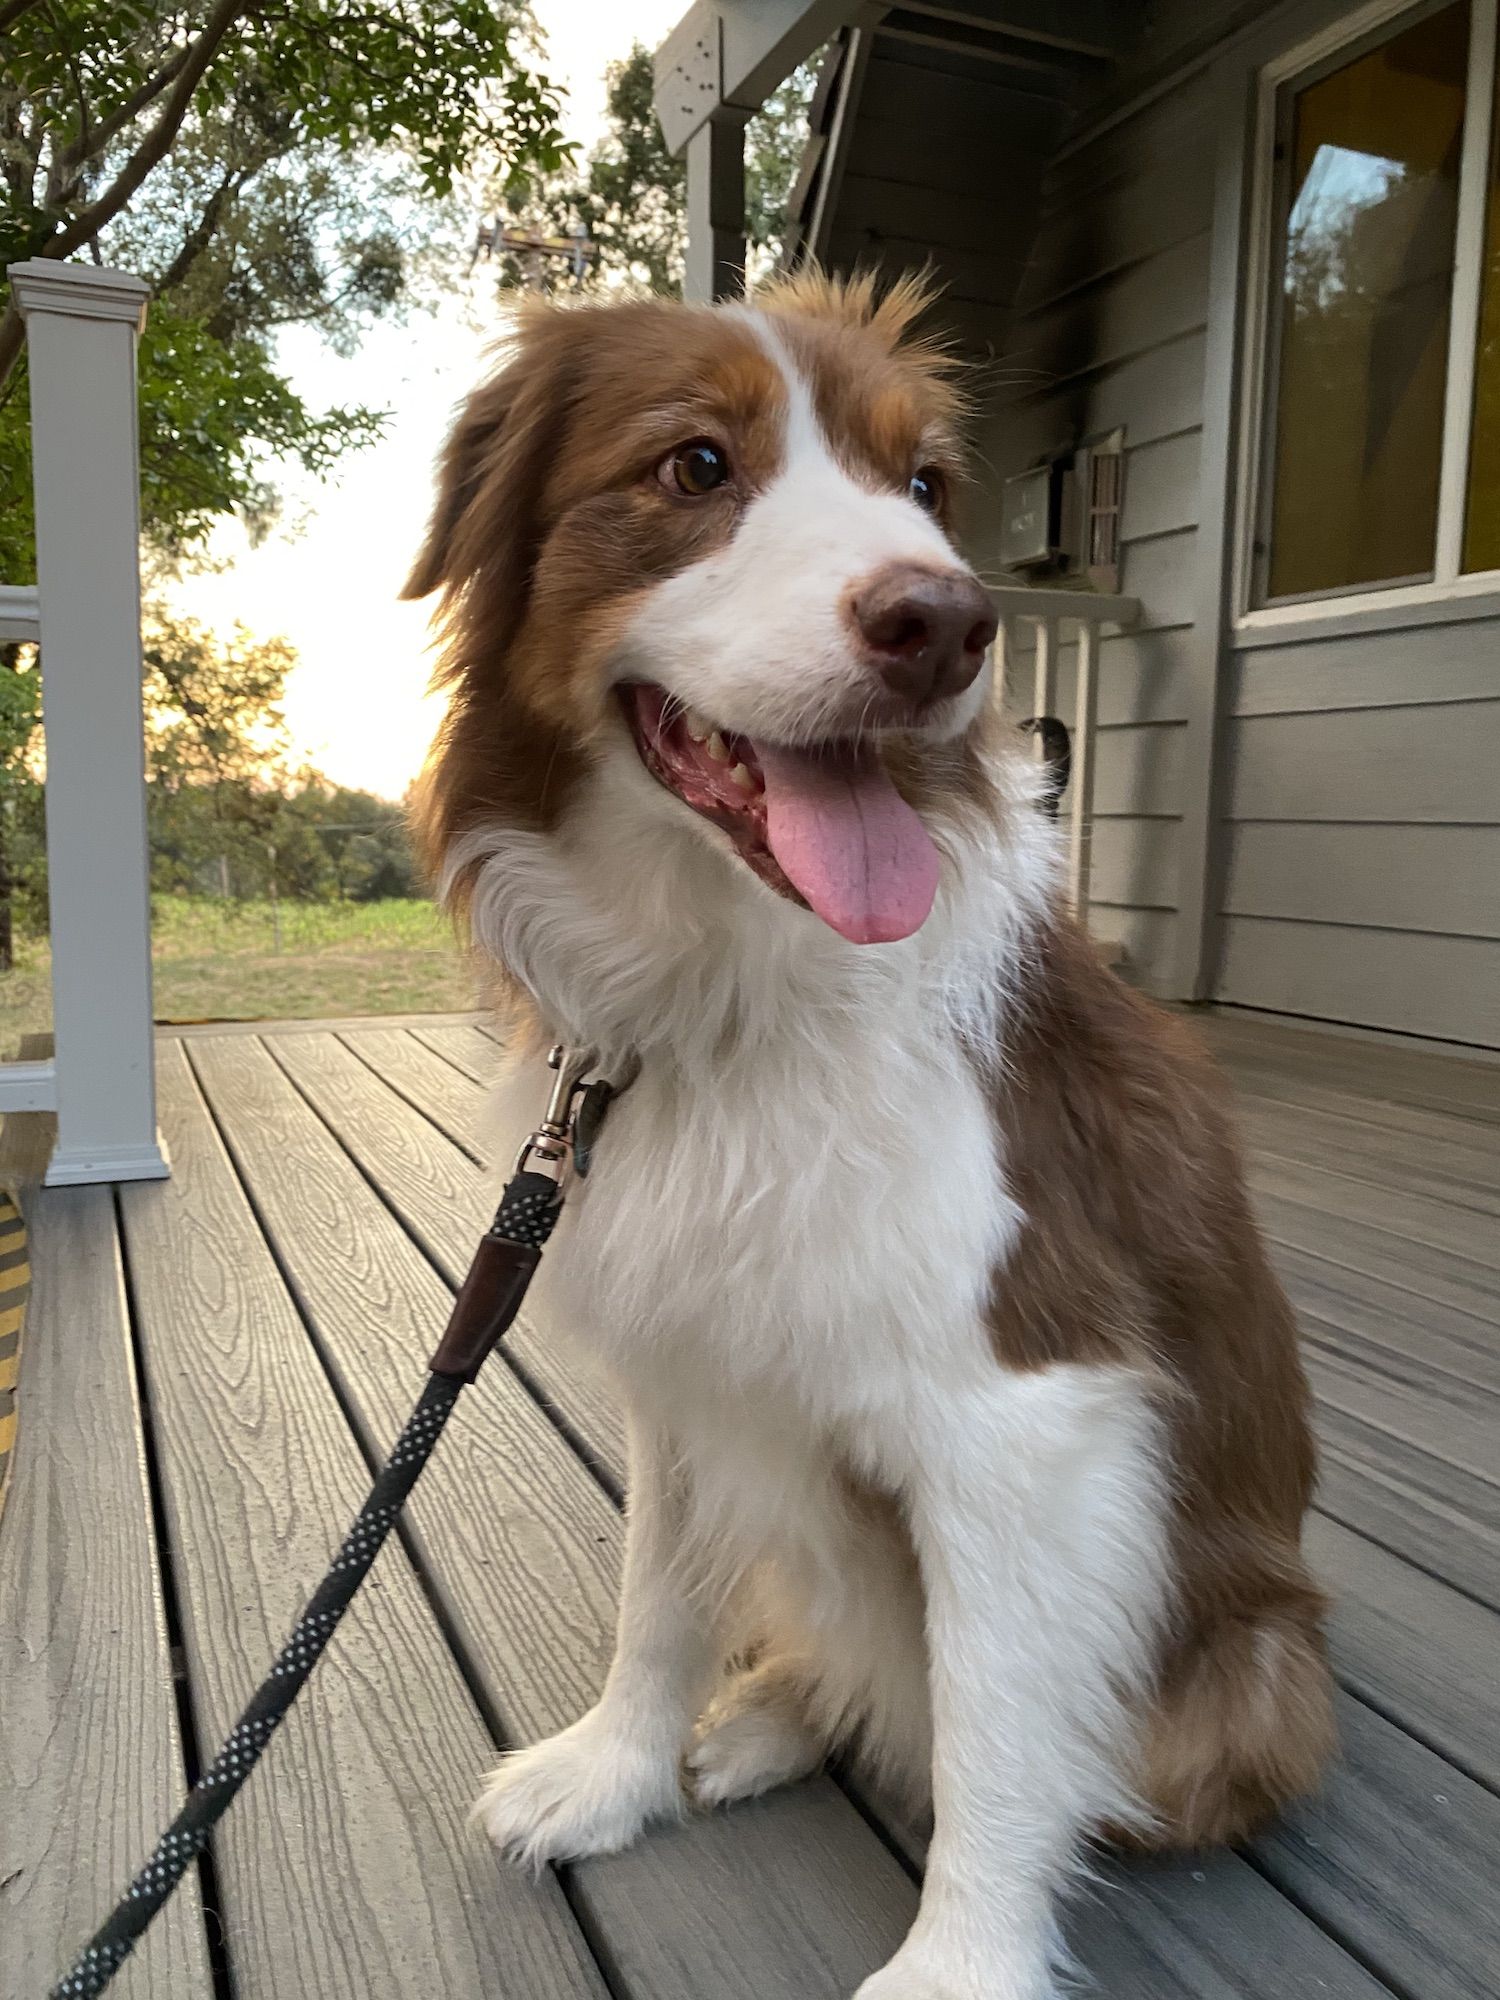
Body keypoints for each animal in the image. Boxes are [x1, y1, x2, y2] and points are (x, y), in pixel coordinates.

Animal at [406, 278, 1336, 2000]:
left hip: (1252, 1673)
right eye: (696, 465)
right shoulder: (687, 1351)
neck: (737, 986)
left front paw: (961, 1963)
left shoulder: (1022, 1415)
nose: (951, 624)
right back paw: (768, 1718)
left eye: (923, 487)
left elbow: (995, 1729)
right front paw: (617, 1772)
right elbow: (658, 1595)